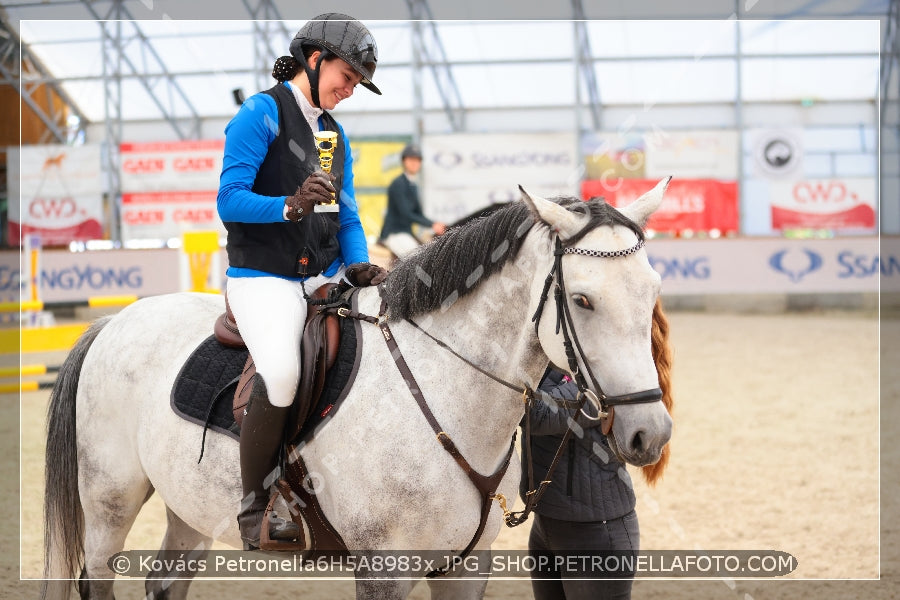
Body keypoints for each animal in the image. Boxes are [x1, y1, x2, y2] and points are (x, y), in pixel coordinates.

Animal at [42, 179, 676, 600]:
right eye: (582, 300)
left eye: (651, 291)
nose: (650, 433)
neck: (442, 389)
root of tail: (111, 322)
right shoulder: (383, 568)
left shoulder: (464, 566)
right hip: (109, 503)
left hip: (189, 506)